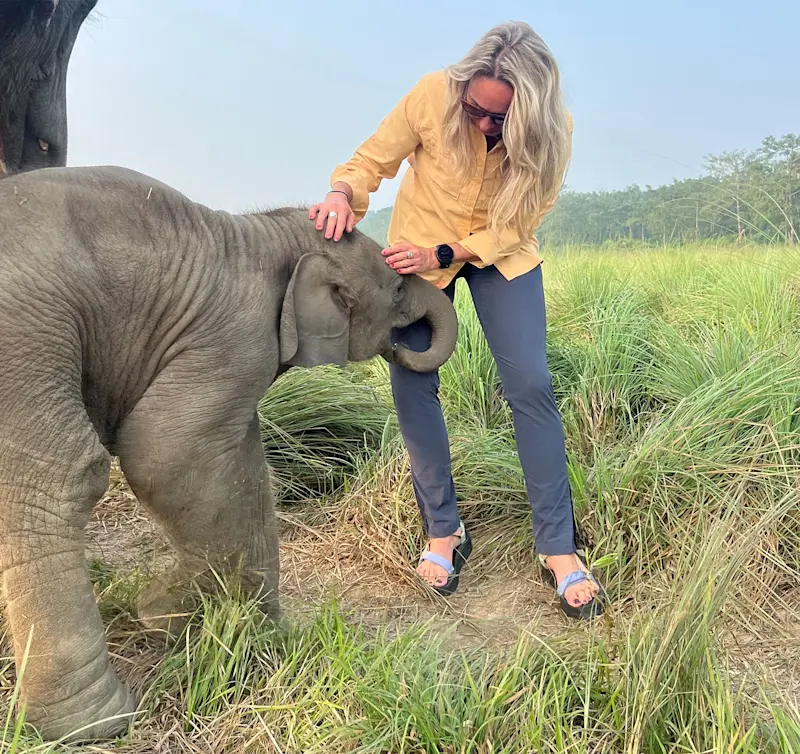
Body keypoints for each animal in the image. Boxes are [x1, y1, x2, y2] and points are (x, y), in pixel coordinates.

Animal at [0, 164, 459, 741]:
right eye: (397, 288)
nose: (404, 346)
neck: (261, 232)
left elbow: (238, 456)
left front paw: (215, 622)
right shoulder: (236, 337)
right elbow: (167, 452)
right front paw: (177, 617)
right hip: (26, 338)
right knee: (56, 476)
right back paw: (95, 723)